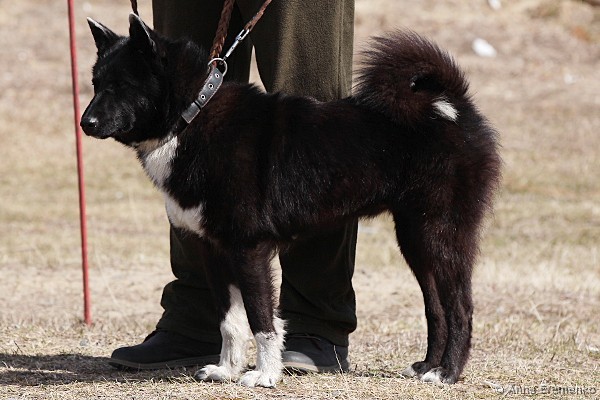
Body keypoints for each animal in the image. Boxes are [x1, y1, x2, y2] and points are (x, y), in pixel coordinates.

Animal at [81, 14, 501, 387]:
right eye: (96, 83)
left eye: (121, 85)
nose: (86, 123)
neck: (194, 114)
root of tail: (450, 108)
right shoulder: (213, 250)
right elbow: (229, 321)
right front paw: (226, 370)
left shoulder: (249, 249)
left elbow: (262, 320)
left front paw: (266, 375)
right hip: (415, 239)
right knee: (436, 309)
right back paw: (428, 366)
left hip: (438, 235)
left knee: (460, 309)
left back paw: (448, 373)